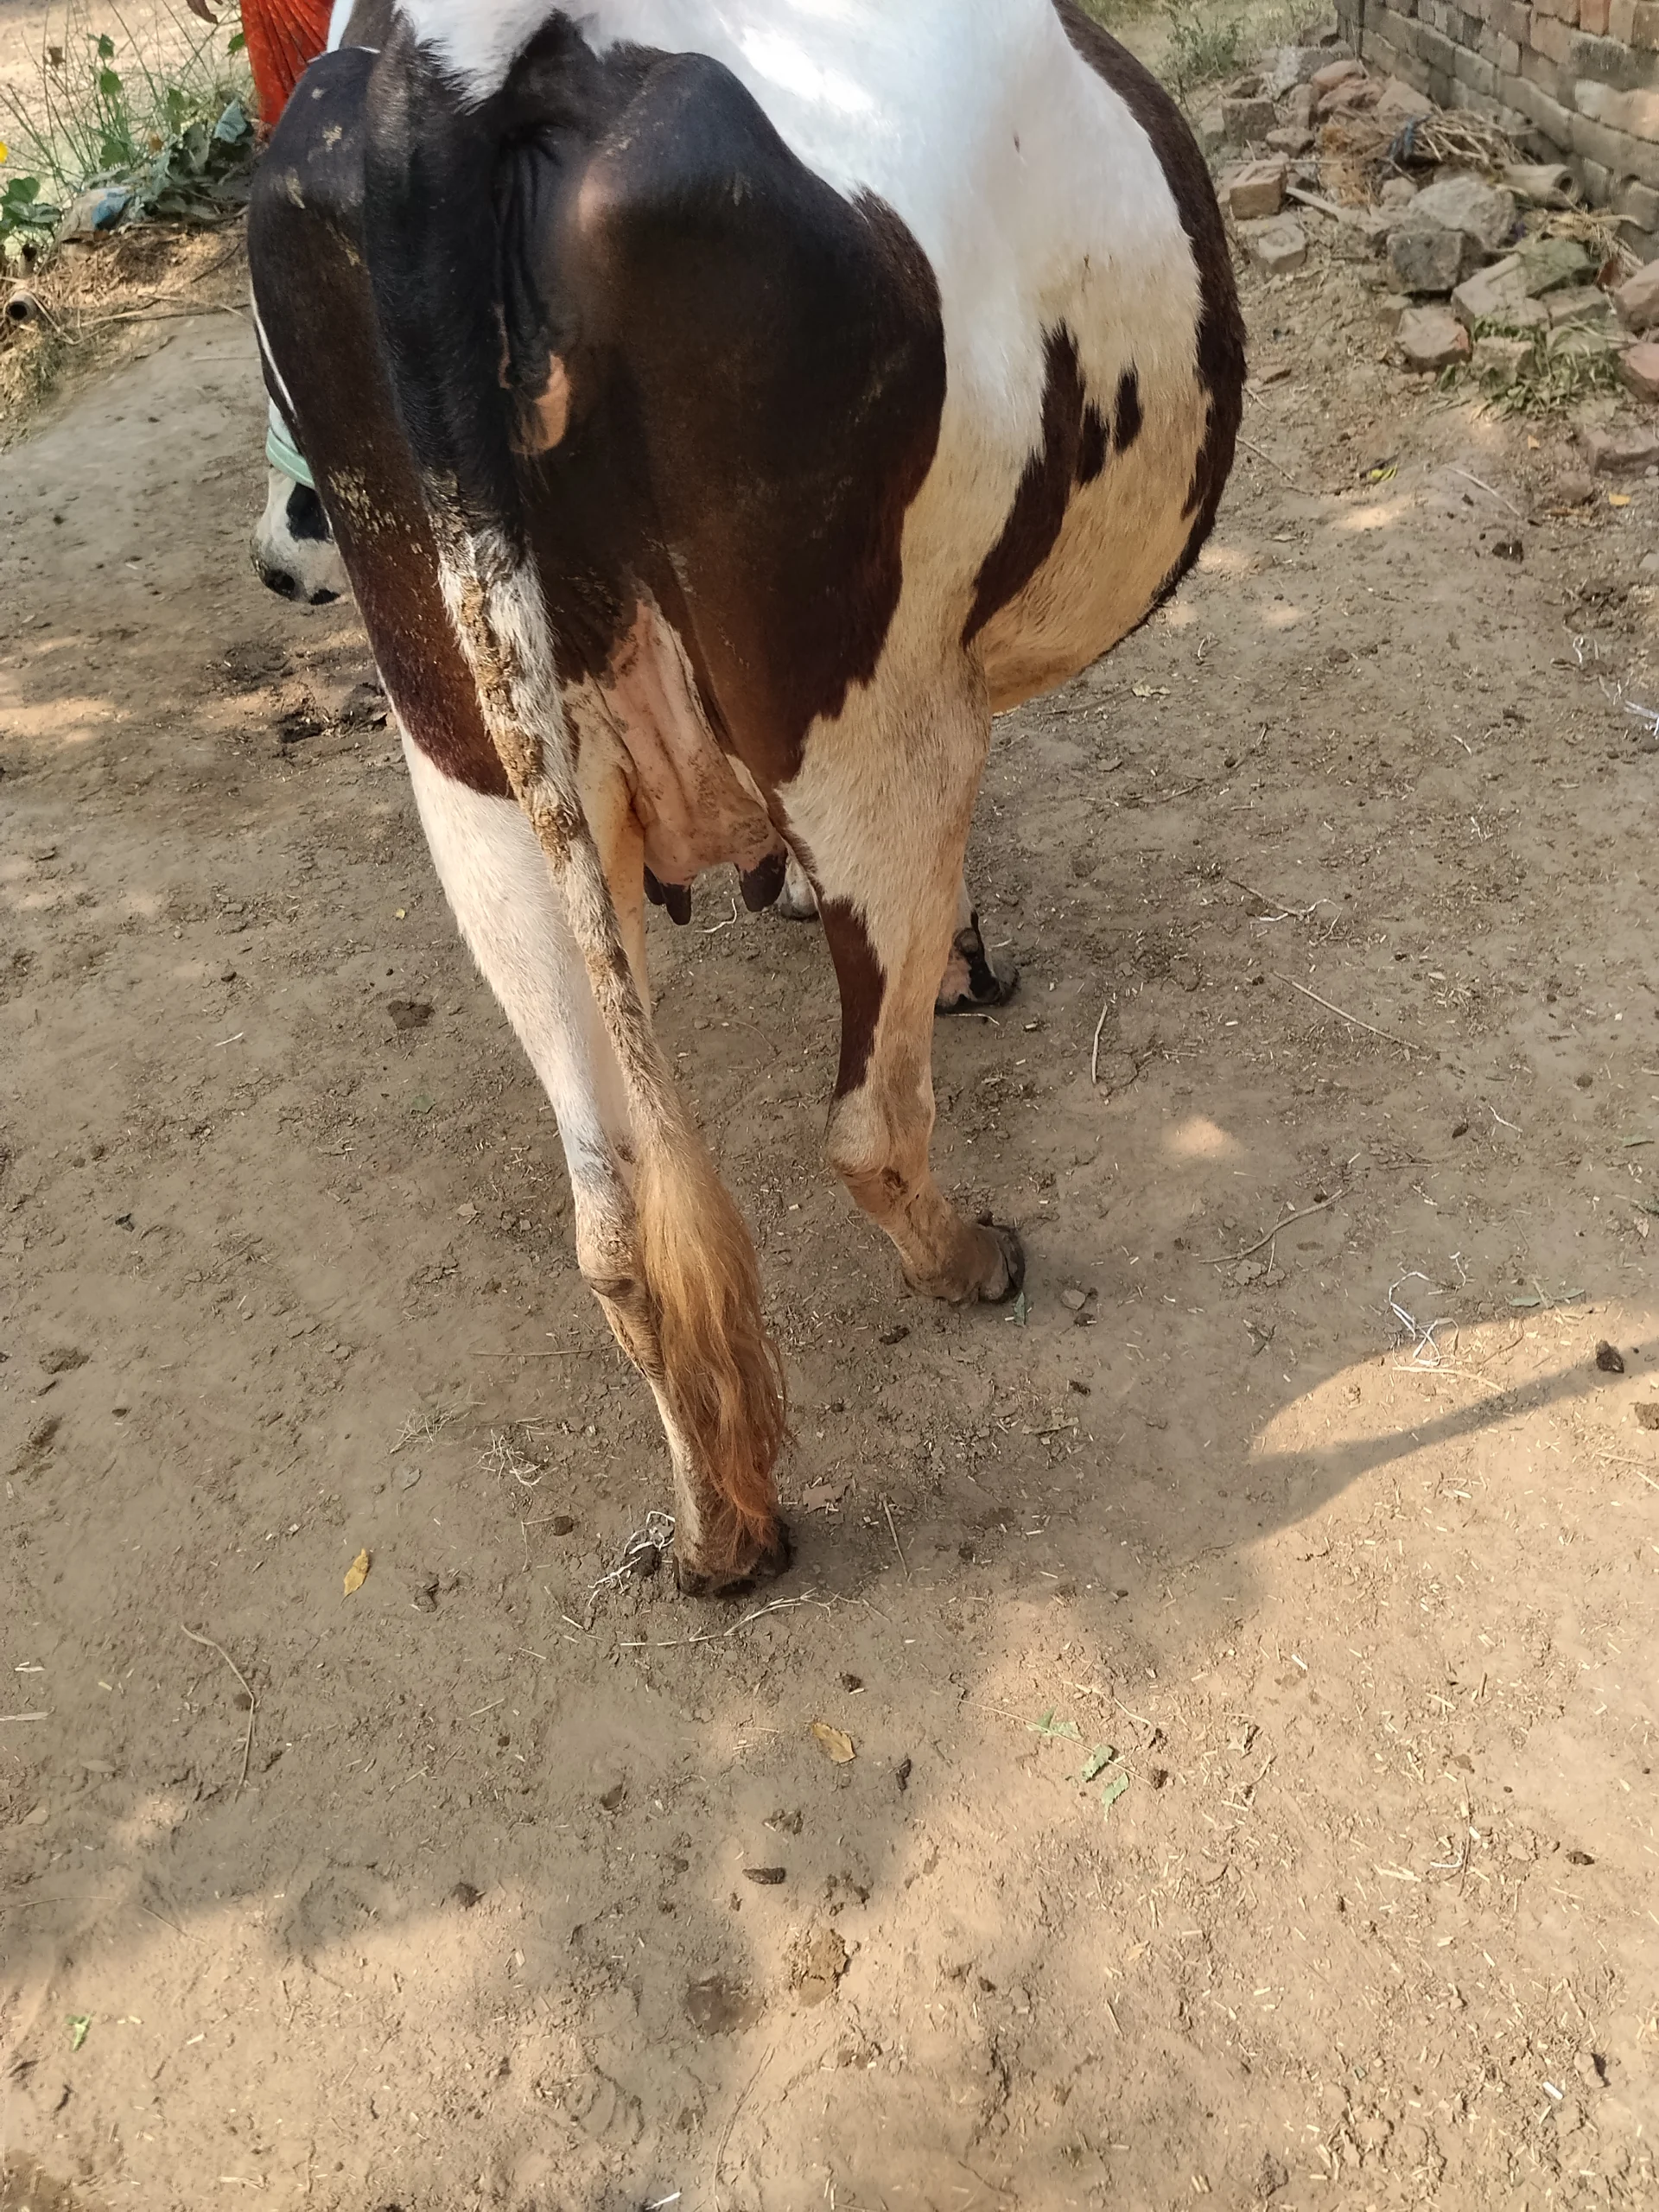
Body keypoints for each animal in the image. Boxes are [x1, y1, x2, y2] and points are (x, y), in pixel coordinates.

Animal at [246, 0, 1245, 1593]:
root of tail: (451, 64)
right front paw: (969, 966)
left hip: (476, 776)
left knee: (613, 1219)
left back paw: (722, 1532)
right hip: (876, 718)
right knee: (867, 1115)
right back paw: (970, 1262)